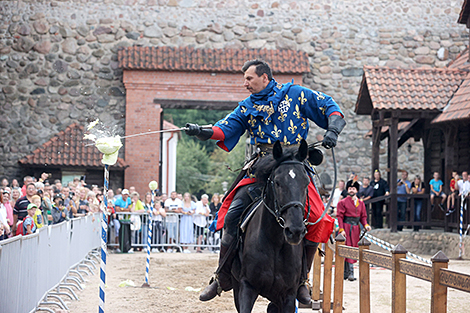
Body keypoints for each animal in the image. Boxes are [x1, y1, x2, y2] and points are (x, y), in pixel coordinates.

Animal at [231, 140, 312, 312]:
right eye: (278, 182)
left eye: (306, 182)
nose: (295, 231)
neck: (275, 242)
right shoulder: (247, 287)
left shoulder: (288, 296)